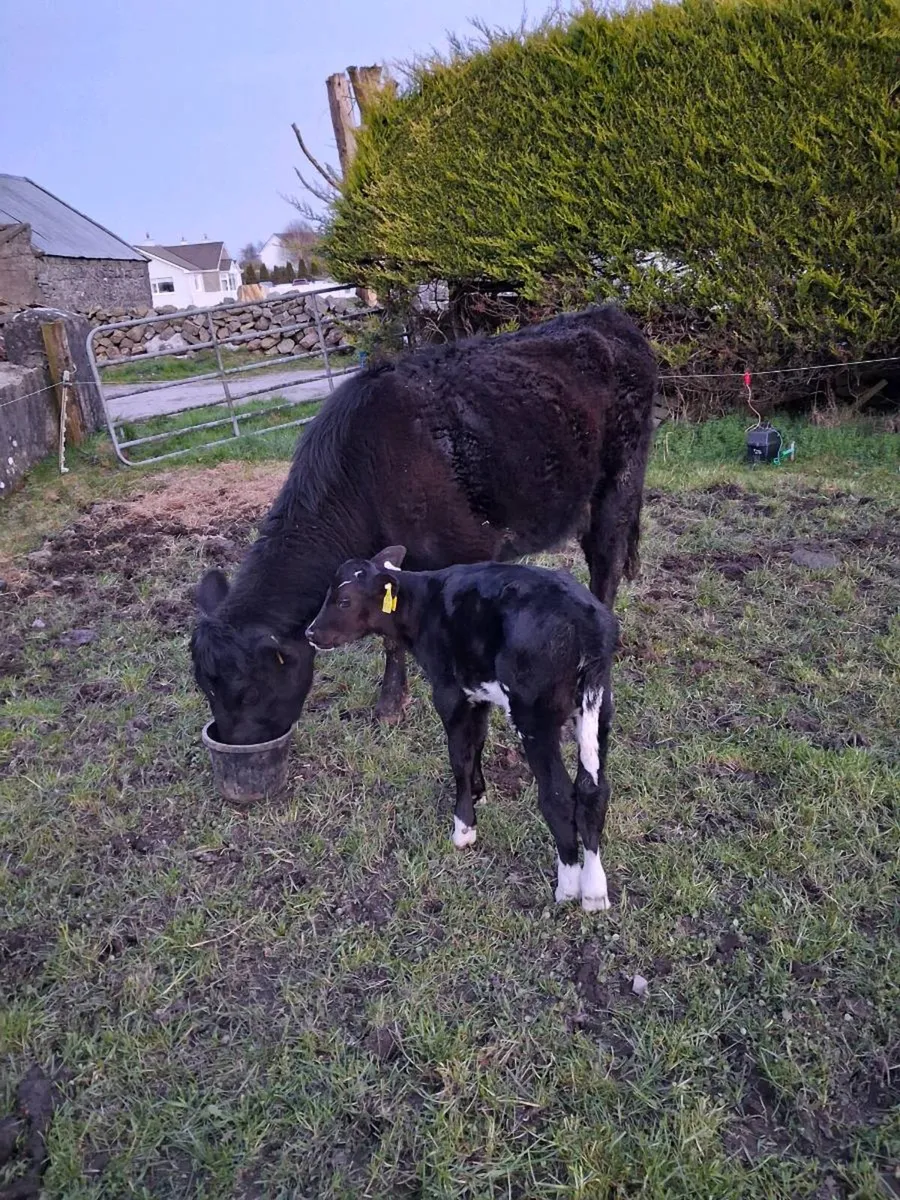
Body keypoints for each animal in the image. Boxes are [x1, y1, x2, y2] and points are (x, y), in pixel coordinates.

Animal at [191, 305, 656, 745]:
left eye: (249, 691)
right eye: (206, 690)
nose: (233, 746)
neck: (367, 468)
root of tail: (606, 315)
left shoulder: (471, 549)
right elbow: (390, 635)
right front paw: (389, 705)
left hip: (620, 478)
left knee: (606, 560)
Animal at [306, 547, 618, 912]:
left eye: (344, 600)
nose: (310, 633)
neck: (424, 605)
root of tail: (586, 624)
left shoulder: (448, 691)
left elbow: (460, 757)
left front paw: (464, 828)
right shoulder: (477, 692)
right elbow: (477, 741)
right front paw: (479, 792)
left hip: (534, 717)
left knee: (558, 795)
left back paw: (568, 887)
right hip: (600, 705)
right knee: (593, 790)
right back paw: (594, 891)